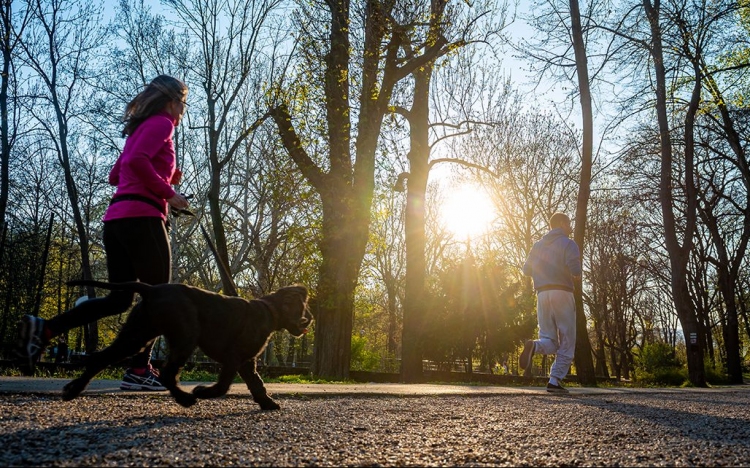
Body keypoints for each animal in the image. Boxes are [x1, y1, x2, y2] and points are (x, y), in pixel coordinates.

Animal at [63, 280, 312, 408]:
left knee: (101, 358)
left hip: (136, 335)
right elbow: (224, 384)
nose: (310, 319)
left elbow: (256, 383)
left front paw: (267, 403)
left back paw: (73, 390)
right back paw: (186, 398)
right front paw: (203, 391)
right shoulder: (234, 357)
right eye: (303, 307)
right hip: (185, 336)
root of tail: (152, 289)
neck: (270, 311)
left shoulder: (247, 362)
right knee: (167, 373)